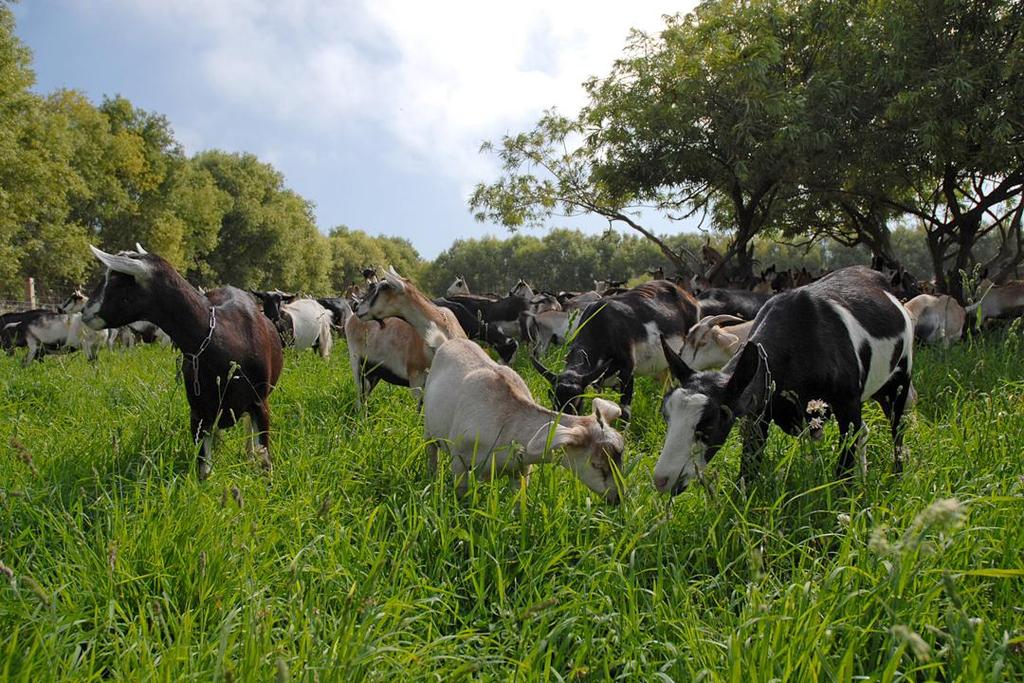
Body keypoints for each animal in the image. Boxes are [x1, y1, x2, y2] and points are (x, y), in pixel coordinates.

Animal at [82, 246, 284, 481]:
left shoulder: (260, 404)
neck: (223, 339)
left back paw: (248, 455)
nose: (85, 312)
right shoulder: (198, 413)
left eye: (116, 280)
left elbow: (265, 461)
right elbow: (204, 469)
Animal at [421, 335, 622, 501]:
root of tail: (450, 340)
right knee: (431, 451)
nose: (617, 498)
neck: (506, 424)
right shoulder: (460, 462)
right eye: (597, 465)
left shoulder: (521, 471)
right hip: (428, 427)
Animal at [655, 266, 913, 497]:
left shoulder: (847, 404)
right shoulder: (758, 416)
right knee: (865, 431)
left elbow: (844, 468)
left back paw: (897, 476)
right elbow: (748, 468)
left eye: (710, 422)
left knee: (896, 428)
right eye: (666, 416)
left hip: (899, 379)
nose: (662, 480)